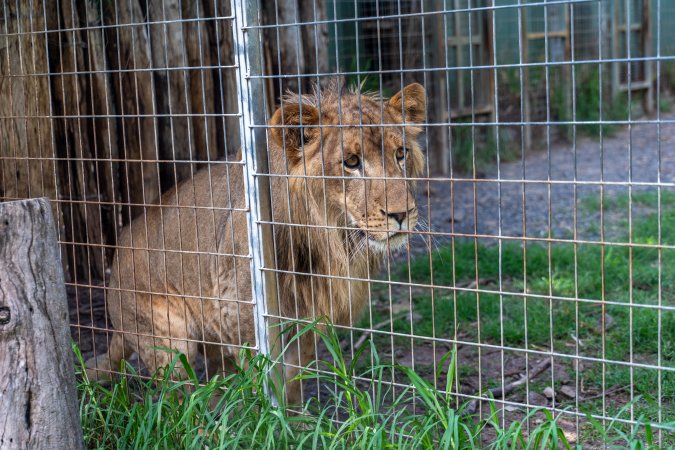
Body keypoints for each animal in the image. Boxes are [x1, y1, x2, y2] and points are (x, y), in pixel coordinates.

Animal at [86, 81, 426, 404]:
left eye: (401, 154)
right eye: (352, 162)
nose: (401, 214)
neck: (332, 240)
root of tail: (113, 271)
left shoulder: (308, 315)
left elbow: (292, 380)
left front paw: (297, 419)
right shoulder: (239, 311)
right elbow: (262, 377)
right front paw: (272, 418)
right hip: (165, 341)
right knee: (180, 401)